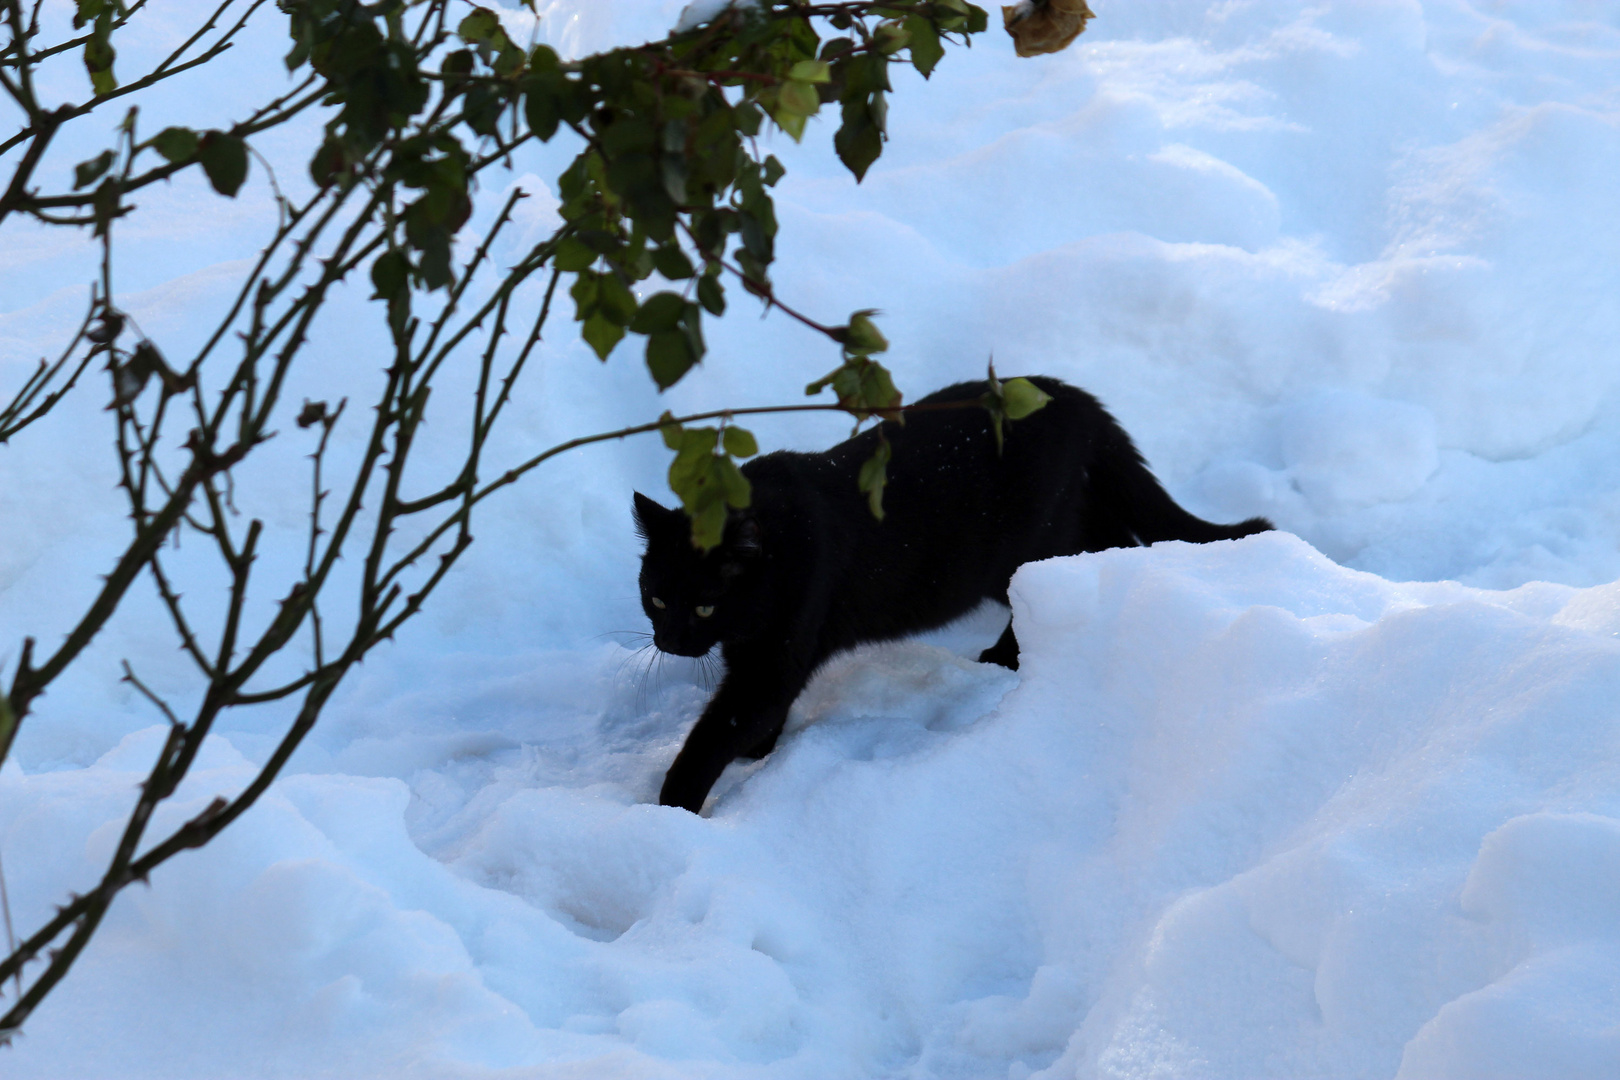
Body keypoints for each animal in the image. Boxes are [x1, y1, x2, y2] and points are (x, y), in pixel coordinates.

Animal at [631, 378, 1263, 809]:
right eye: (656, 599)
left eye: (706, 603)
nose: (672, 641)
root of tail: (1072, 395)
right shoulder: (760, 654)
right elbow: (756, 717)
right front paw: (760, 752)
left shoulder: (775, 656)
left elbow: (720, 729)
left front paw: (674, 805)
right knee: (1112, 546)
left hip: (1025, 547)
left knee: (1053, 584)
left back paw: (1005, 658)